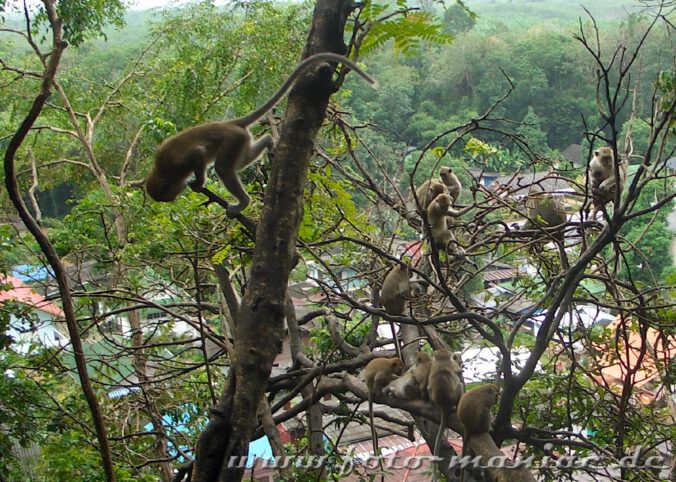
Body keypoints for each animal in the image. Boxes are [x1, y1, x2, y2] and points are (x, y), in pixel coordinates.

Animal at [145, 51, 374, 214]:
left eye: (170, 194)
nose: (174, 198)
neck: (162, 170)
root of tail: (230, 123)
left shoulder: (179, 162)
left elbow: (199, 154)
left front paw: (199, 182)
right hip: (240, 140)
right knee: (239, 161)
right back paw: (268, 142)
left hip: (233, 140)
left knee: (223, 168)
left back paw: (243, 202)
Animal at [428, 348, 464, 480]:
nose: (460, 360)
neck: (442, 360)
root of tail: (443, 403)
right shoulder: (453, 365)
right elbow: (457, 371)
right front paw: (461, 368)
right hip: (455, 395)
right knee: (460, 385)